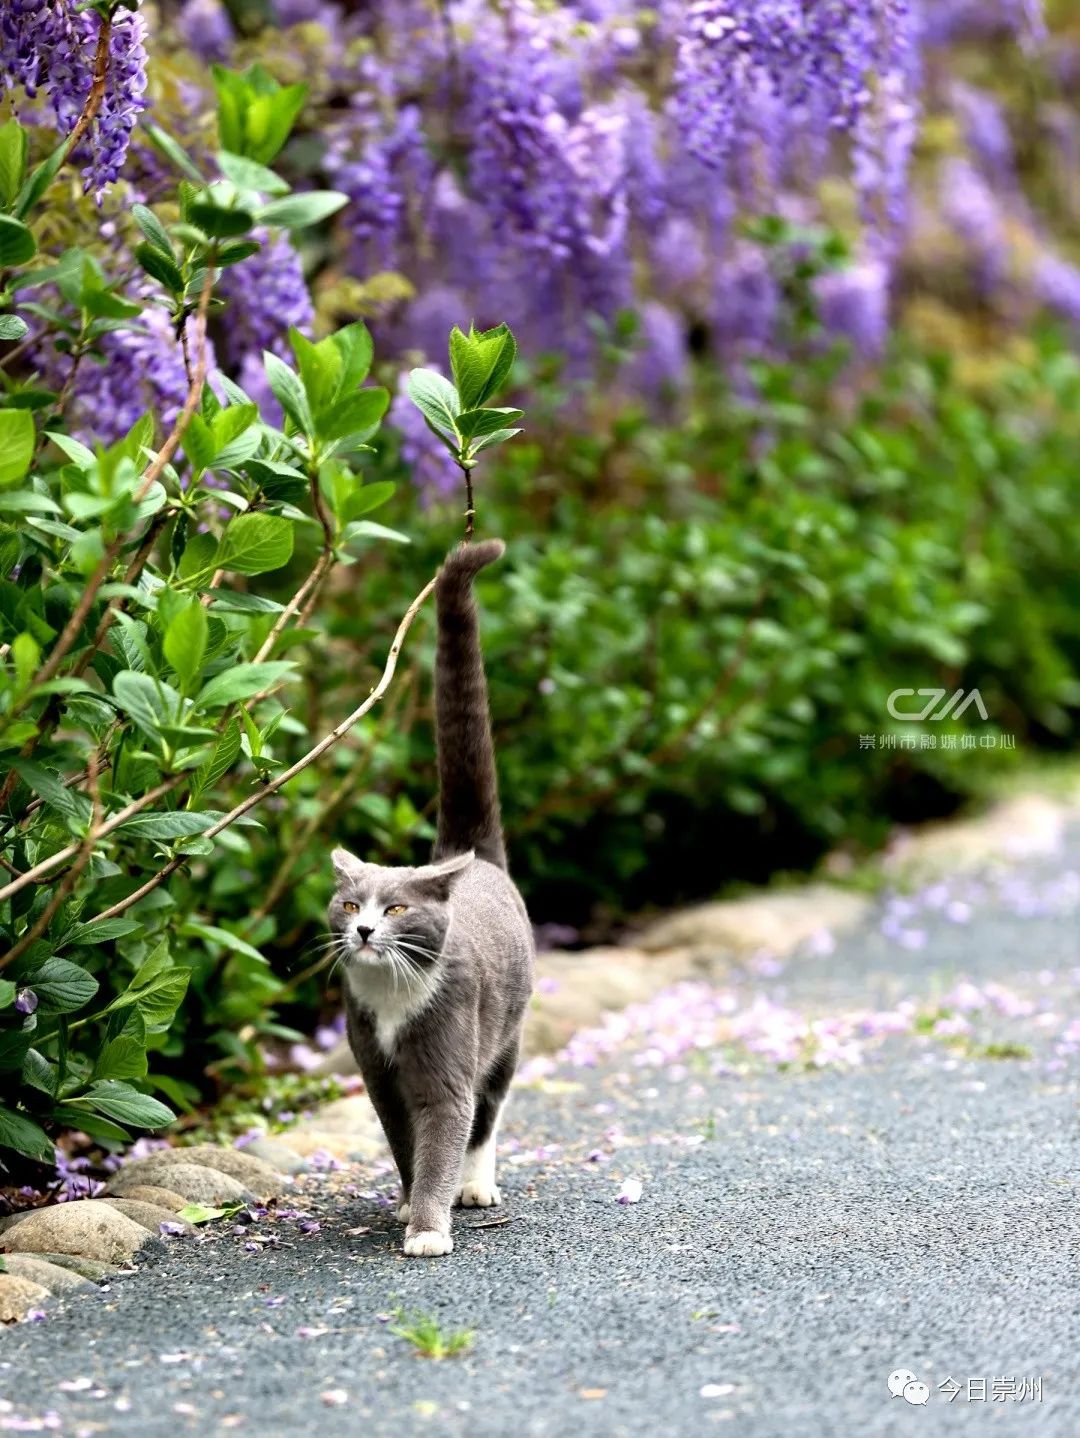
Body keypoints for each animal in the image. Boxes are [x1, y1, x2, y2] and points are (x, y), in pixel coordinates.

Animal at [327, 540, 534, 1259]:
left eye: (395, 910)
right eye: (349, 905)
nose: (364, 931)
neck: (392, 998)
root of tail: (471, 853)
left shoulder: (447, 1063)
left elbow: (448, 1128)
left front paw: (428, 1228)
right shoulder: (378, 1073)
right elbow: (403, 1142)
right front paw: (408, 1203)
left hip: (506, 1030)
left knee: (488, 1111)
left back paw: (476, 1187)